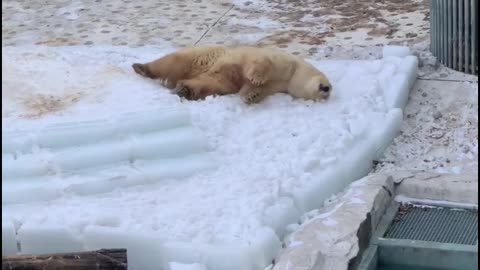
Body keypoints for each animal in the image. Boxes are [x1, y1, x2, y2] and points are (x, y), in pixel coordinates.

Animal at [133, 45, 332, 104]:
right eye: (327, 86)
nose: (326, 89)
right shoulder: (281, 61)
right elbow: (262, 62)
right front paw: (256, 77)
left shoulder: (278, 85)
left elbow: (256, 88)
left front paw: (250, 96)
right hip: (203, 56)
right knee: (173, 62)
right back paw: (141, 67)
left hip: (214, 78)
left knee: (208, 84)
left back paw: (184, 90)